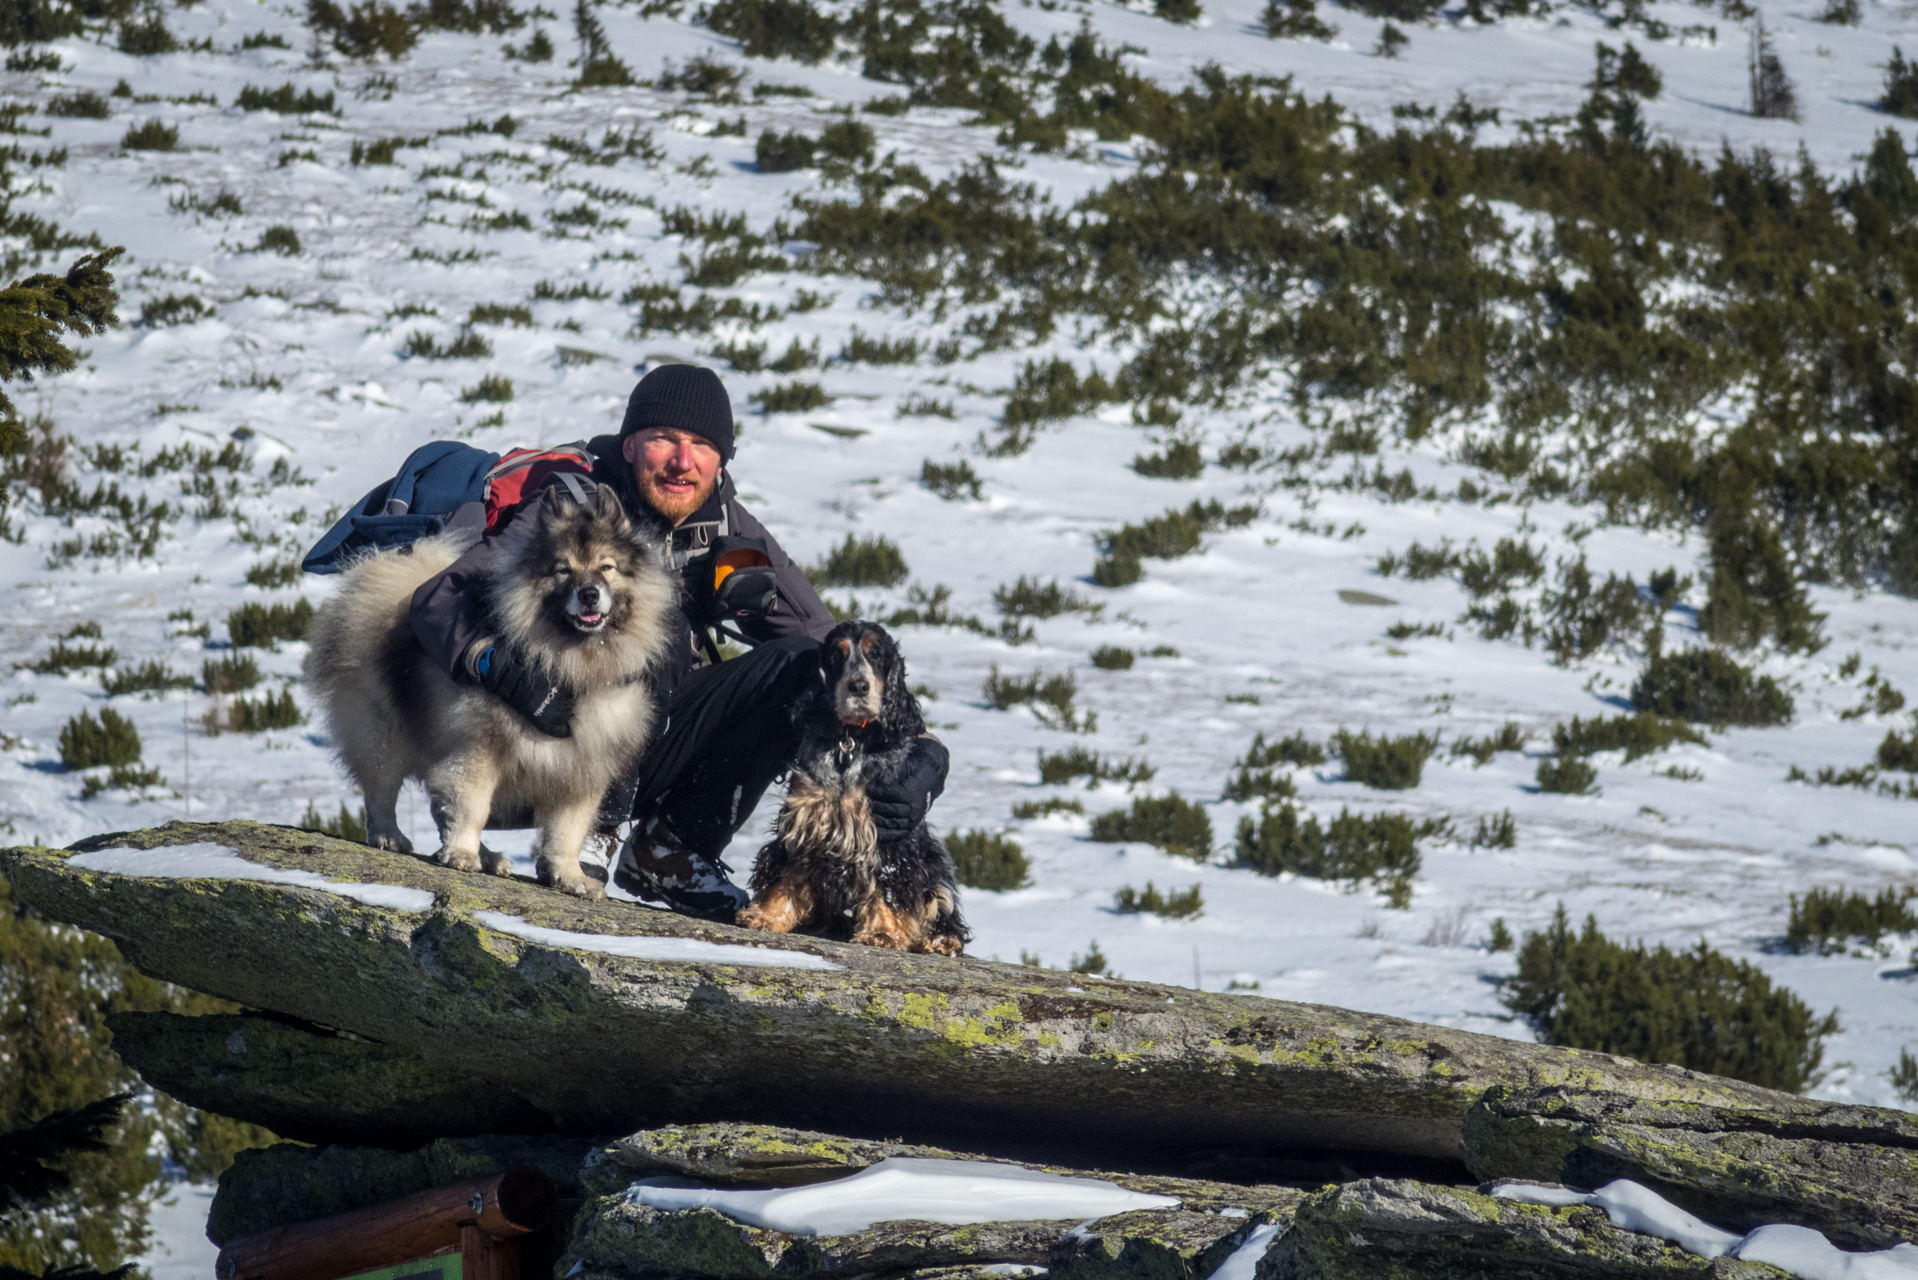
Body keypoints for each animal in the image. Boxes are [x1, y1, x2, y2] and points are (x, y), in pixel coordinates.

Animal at [303, 483, 678, 901]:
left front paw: (569, 876)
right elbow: (472, 806)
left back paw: (490, 858)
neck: (572, 663)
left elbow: (568, 831)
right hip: (383, 732)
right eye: (562, 570)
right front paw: (461, 853)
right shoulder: (480, 749)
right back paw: (392, 836)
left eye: (607, 567)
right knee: (381, 789)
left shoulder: (582, 767)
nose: (589, 594)